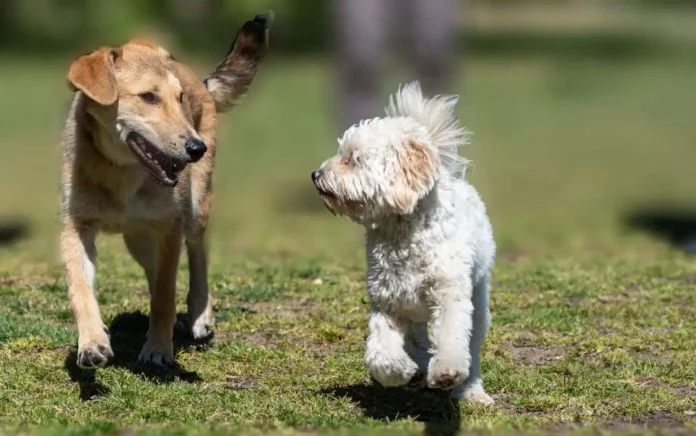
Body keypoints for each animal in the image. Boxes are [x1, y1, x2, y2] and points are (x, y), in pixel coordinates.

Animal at [61, 14, 272, 368]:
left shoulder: (169, 228)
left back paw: (200, 315)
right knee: (155, 269)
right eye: (148, 97)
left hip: (196, 209)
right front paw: (92, 344)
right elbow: (81, 291)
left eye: (179, 98)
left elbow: (164, 294)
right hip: (137, 238)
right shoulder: (76, 227)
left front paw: (158, 349)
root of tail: (201, 82)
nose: (196, 148)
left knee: (197, 255)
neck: (121, 173)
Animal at [310, 82, 494, 406]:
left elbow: (451, 338)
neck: (403, 231)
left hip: (478, 299)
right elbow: (381, 354)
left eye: (352, 158)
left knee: (471, 347)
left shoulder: (449, 295)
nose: (316, 175)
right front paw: (401, 371)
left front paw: (446, 373)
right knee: (418, 340)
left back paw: (471, 390)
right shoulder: (388, 302)